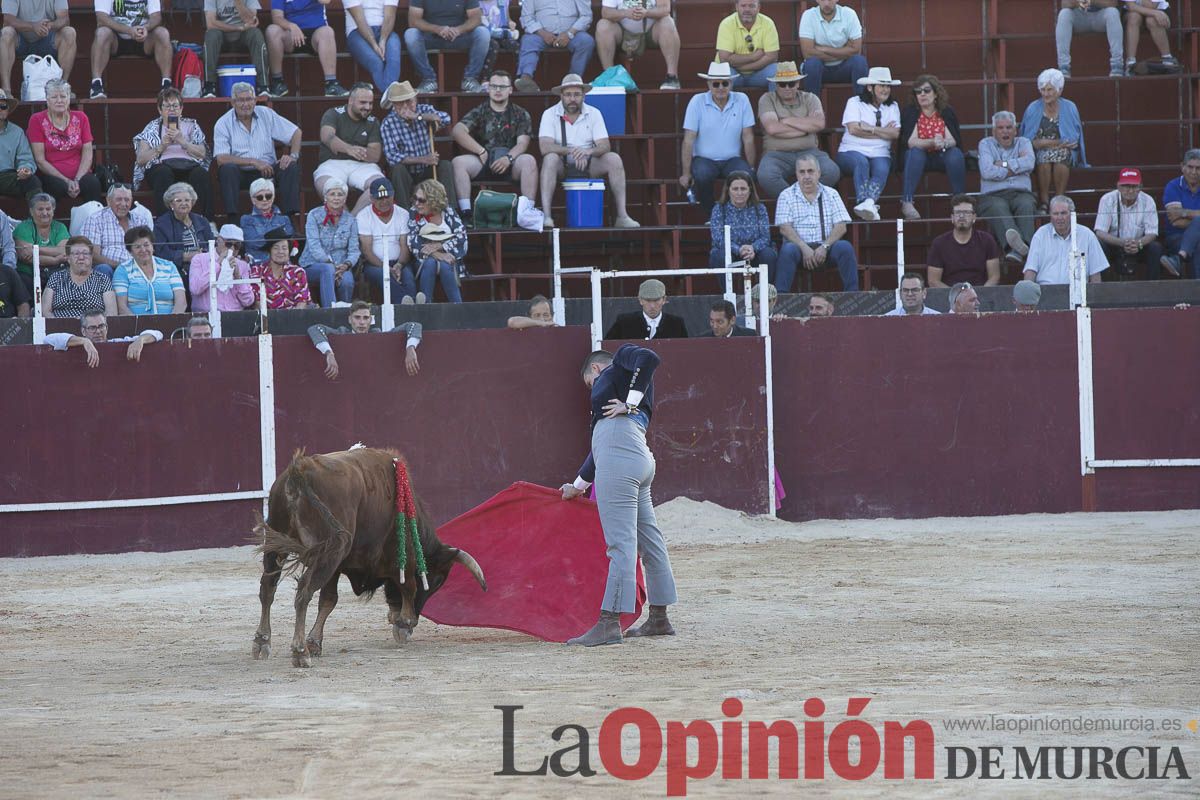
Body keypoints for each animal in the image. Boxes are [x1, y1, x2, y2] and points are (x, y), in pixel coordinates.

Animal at [250, 448, 484, 666]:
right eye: (436, 582)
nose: (414, 617)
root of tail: (300, 470)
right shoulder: (401, 559)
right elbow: (408, 586)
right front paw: (405, 623)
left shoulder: (338, 567)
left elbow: (328, 600)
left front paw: (315, 642)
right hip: (327, 553)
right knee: (303, 592)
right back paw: (299, 652)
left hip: (277, 545)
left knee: (268, 588)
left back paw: (262, 642)